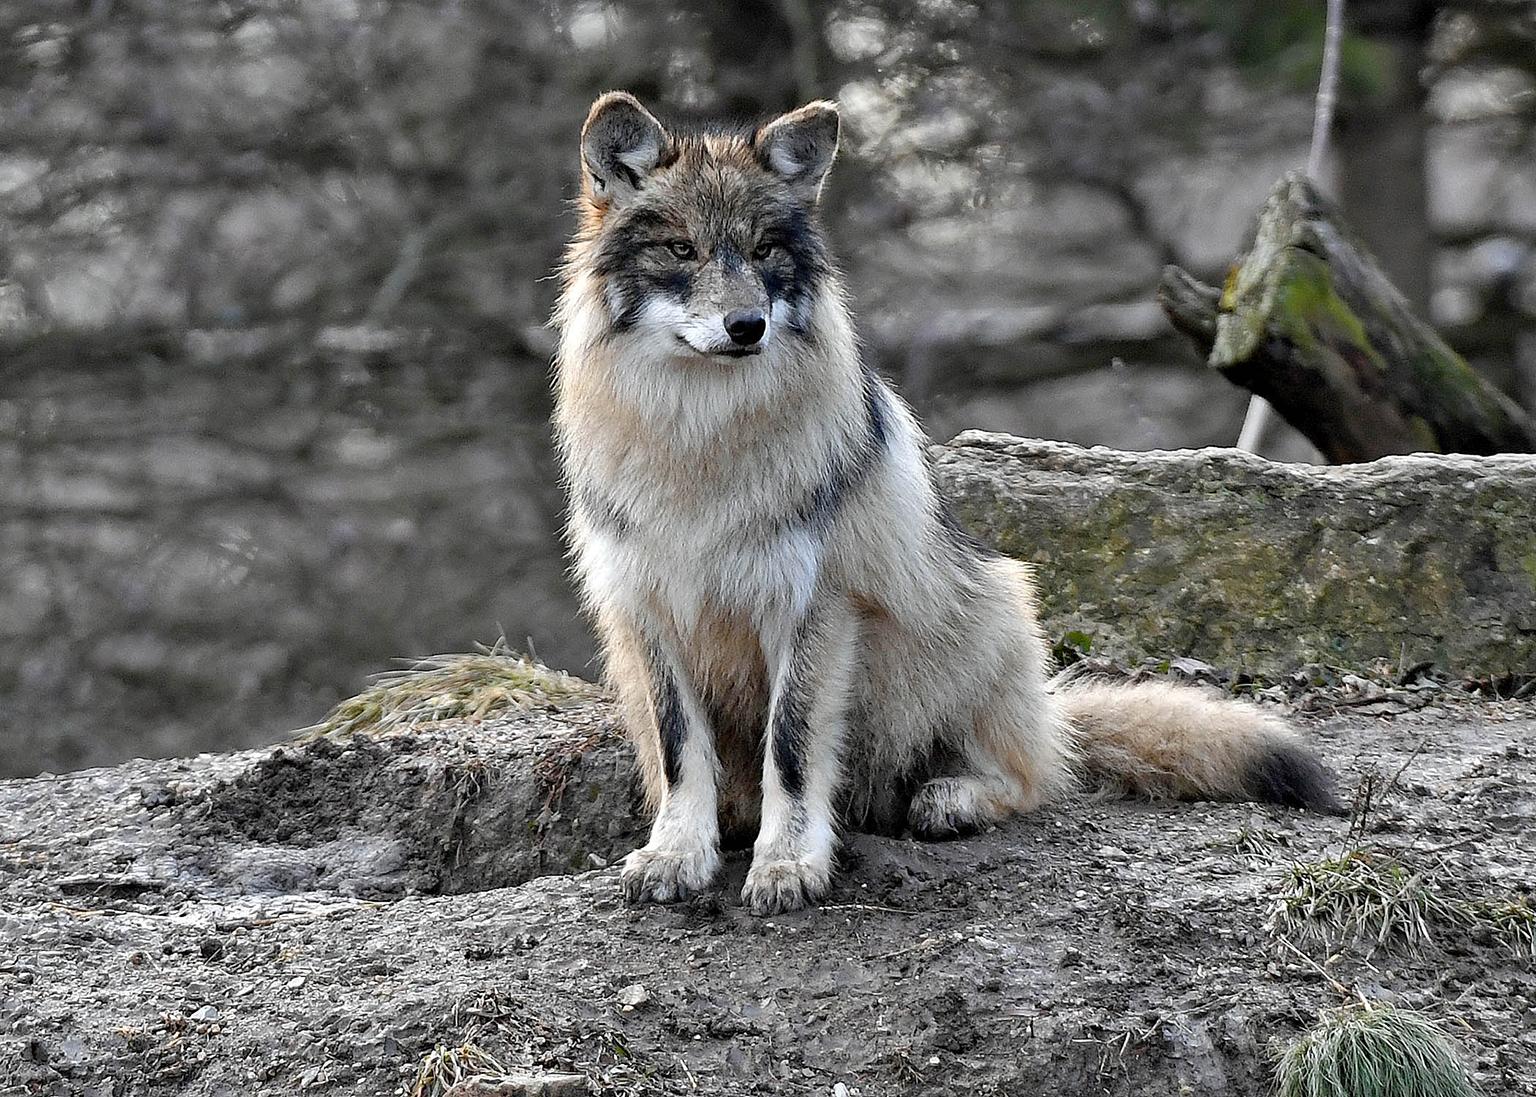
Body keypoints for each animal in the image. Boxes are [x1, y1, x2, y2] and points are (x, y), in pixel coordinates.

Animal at [549, 91, 1333, 915]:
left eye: (764, 252)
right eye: (681, 250)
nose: (747, 326)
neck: (697, 442)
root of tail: (1052, 707)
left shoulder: (815, 606)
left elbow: (790, 751)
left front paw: (788, 864)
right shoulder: (648, 610)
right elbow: (681, 755)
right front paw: (677, 853)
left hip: (986, 613)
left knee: (1035, 776)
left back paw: (951, 797)